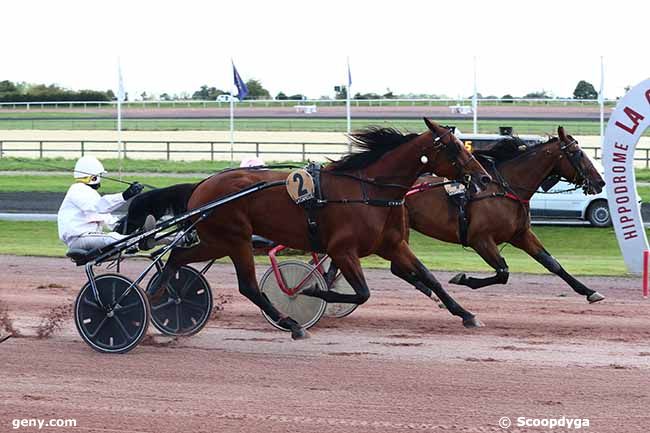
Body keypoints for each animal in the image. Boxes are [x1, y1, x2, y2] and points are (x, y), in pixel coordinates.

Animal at [148, 118, 492, 338]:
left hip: (218, 241)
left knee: (177, 256)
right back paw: (292, 325)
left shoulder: (393, 245)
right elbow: (362, 293)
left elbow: (430, 278)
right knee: (248, 286)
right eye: (453, 148)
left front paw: (466, 314)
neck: (369, 191)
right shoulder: (342, 250)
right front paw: (311, 290)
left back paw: (160, 295)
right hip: (235, 239)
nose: (484, 177)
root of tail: (202, 185)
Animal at [402, 125, 604, 300]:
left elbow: (552, 263)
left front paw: (589, 291)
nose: (600, 182)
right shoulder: (480, 239)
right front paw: (463, 278)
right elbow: (503, 273)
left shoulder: (521, 235)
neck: (505, 189)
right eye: (578, 153)